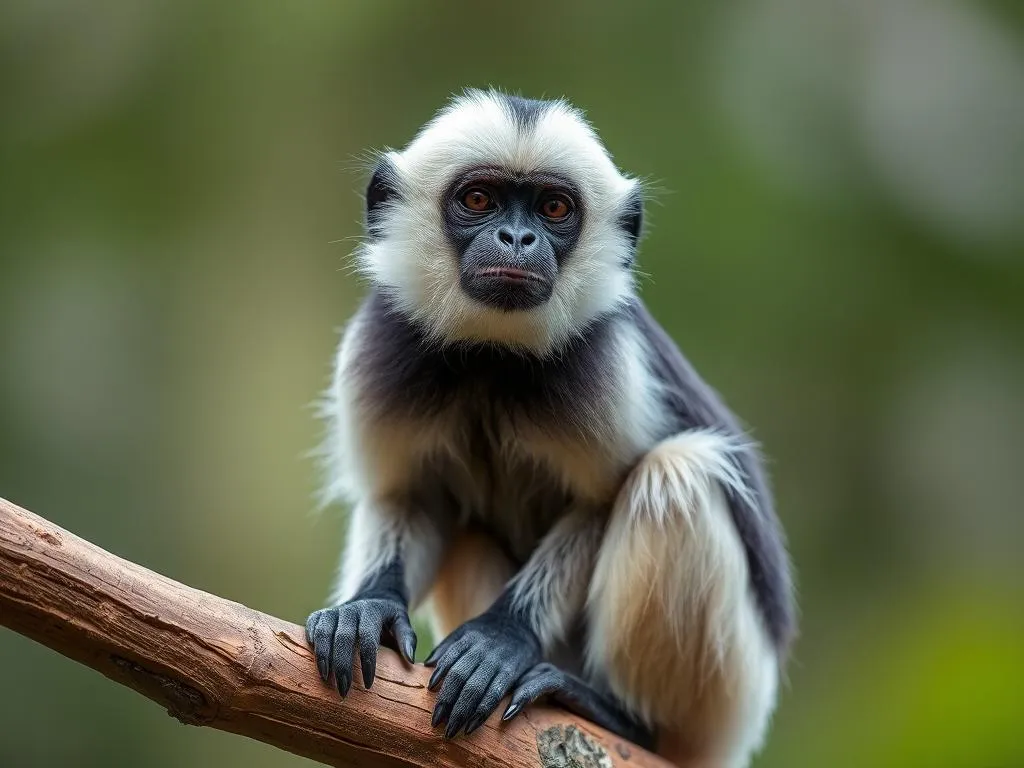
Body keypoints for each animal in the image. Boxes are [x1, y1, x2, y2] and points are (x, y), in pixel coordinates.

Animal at [305, 90, 798, 768]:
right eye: (478, 199)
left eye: (554, 208)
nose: (518, 237)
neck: (493, 360)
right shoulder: (385, 339)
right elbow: (411, 494)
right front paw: (369, 606)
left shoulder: (607, 362)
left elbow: (602, 502)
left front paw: (501, 637)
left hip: (724, 703)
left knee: (679, 474)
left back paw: (614, 713)